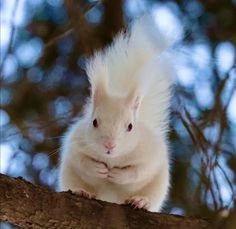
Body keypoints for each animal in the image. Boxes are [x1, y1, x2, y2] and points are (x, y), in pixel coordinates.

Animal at [58, 15, 174, 213]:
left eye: (130, 126)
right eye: (94, 122)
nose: (109, 145)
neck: (112, 159)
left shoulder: (151, 153)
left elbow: (139, 171)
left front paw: (118, 175)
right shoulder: (75, 143)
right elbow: (81, 160)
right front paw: (98, 170)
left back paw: (141, 201)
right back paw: (82, 191)